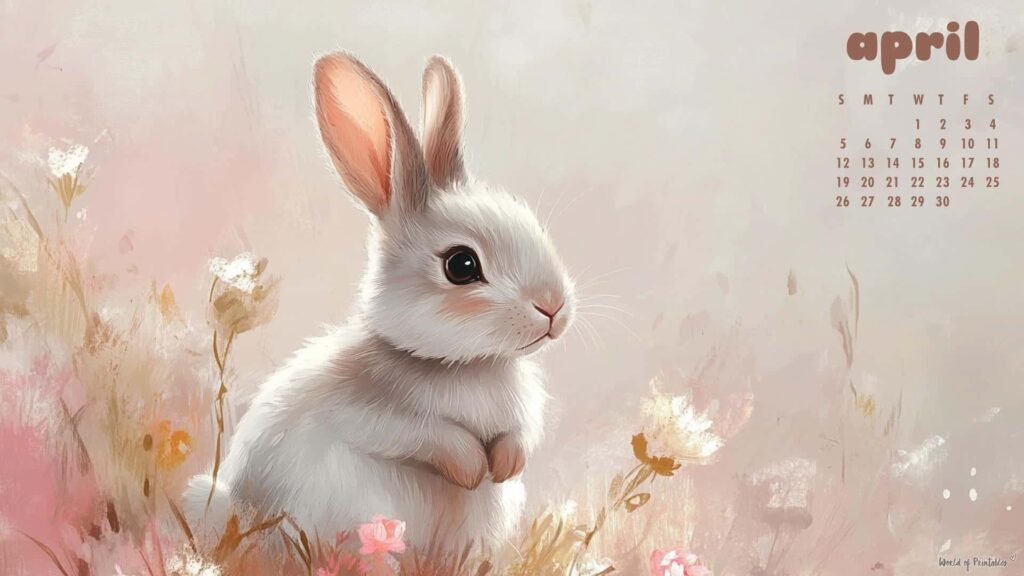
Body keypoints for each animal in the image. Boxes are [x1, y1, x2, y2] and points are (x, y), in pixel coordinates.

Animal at [182, 53, 576, 552]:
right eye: (462, 265)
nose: (554, 308)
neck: (466, 364)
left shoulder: (520, 419)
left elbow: (519, 436)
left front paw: (505, 464)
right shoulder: (374, 416)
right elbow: (428, 437)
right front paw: (473, 468)